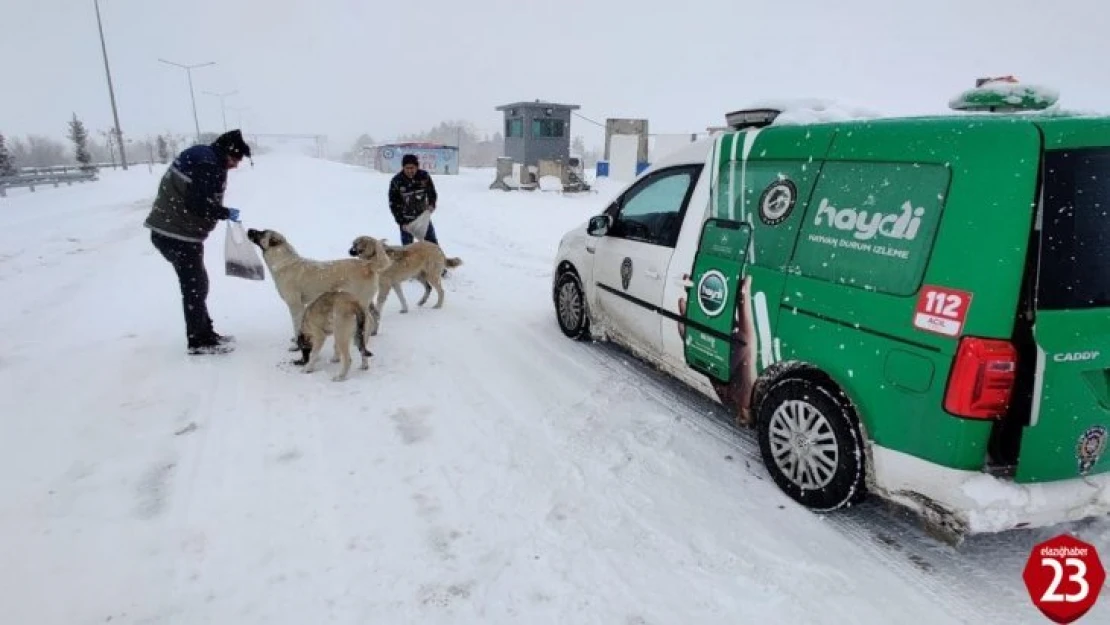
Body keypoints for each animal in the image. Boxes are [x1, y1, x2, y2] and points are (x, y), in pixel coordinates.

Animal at [247, 228, 390, 350]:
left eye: (262, 232)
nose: (249, 230)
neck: (283, 261)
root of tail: (367, 264)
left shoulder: (295, 306)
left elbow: (296, 326)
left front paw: (297, 346)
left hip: (361, 301)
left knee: (370, 320)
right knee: (374, 316)